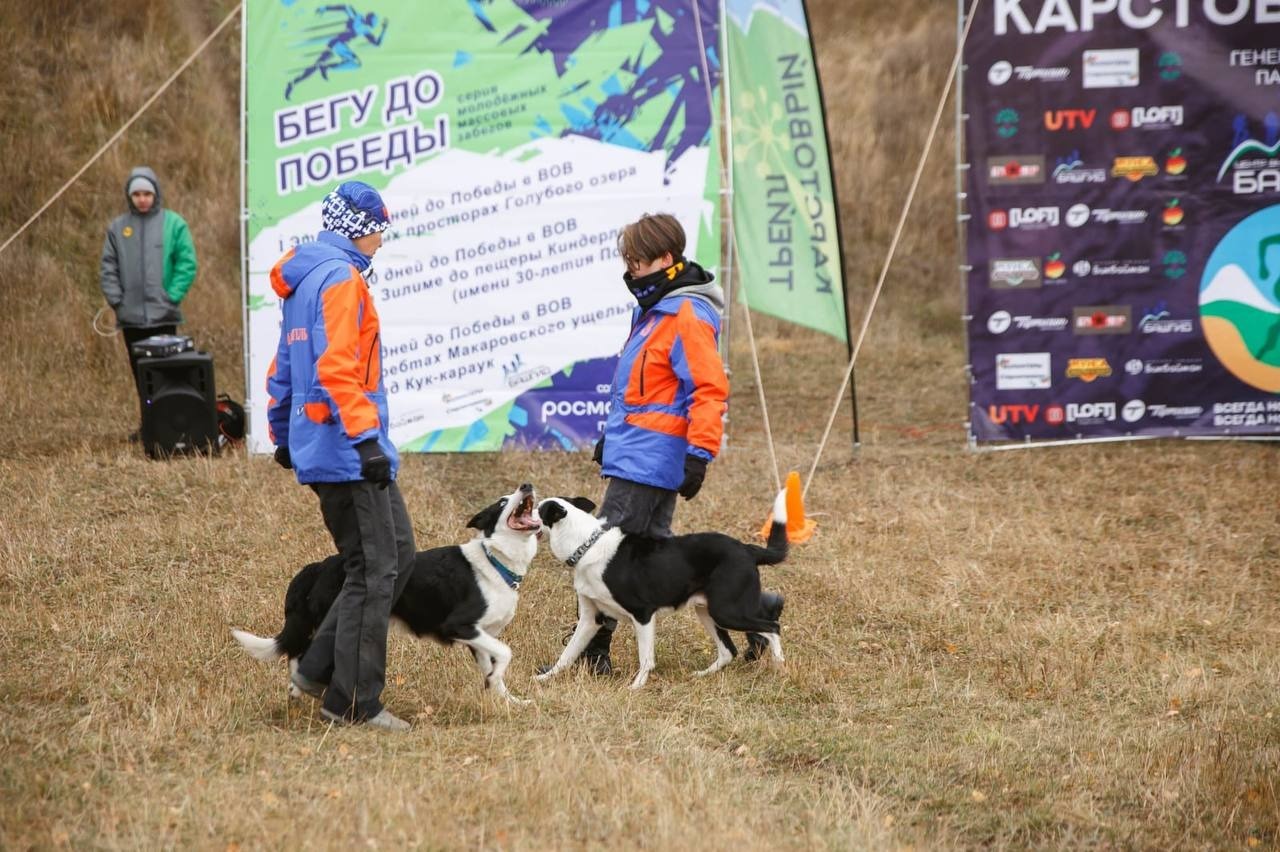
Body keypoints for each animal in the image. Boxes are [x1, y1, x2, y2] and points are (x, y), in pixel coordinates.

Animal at [235, 481, 540, 701]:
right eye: (502, 502)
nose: (527, 485)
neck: (495, 560)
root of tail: (320, 566)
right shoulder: (459, 625)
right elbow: (506, 652)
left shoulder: (480, 637)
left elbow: (494, 669)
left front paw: (509, 701)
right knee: (302, 654)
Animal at [532, 488, 788, 685]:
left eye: (538, 509)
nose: (525, 505)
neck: (586, 545)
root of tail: (747, 549)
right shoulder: (590, 619)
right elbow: (567, 654)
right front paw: (545, 678)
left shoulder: (642, 614)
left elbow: (646, 658)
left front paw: (636, 686)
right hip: (708, 611)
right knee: (728, 651)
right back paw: (701, 674)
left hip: (725, 611)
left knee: (772, 626)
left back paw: (779, 664)